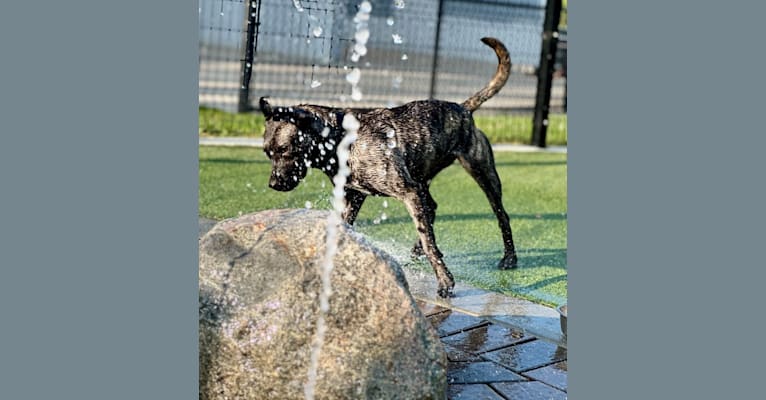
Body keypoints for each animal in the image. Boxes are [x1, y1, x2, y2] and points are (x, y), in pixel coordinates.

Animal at [260, 37, 520, 296]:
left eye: (285, 149)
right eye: (267, 153)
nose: (272, 184)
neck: (341, 138)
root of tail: (463, 108)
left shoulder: (407, 191)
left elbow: (429, 240)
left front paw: (445, 281)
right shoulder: (355, 196)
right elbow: (344, 226)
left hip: (481, 173)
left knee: (501, 215)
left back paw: (509, 258)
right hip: (422, 178)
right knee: (431, 208)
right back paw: (417, 249)